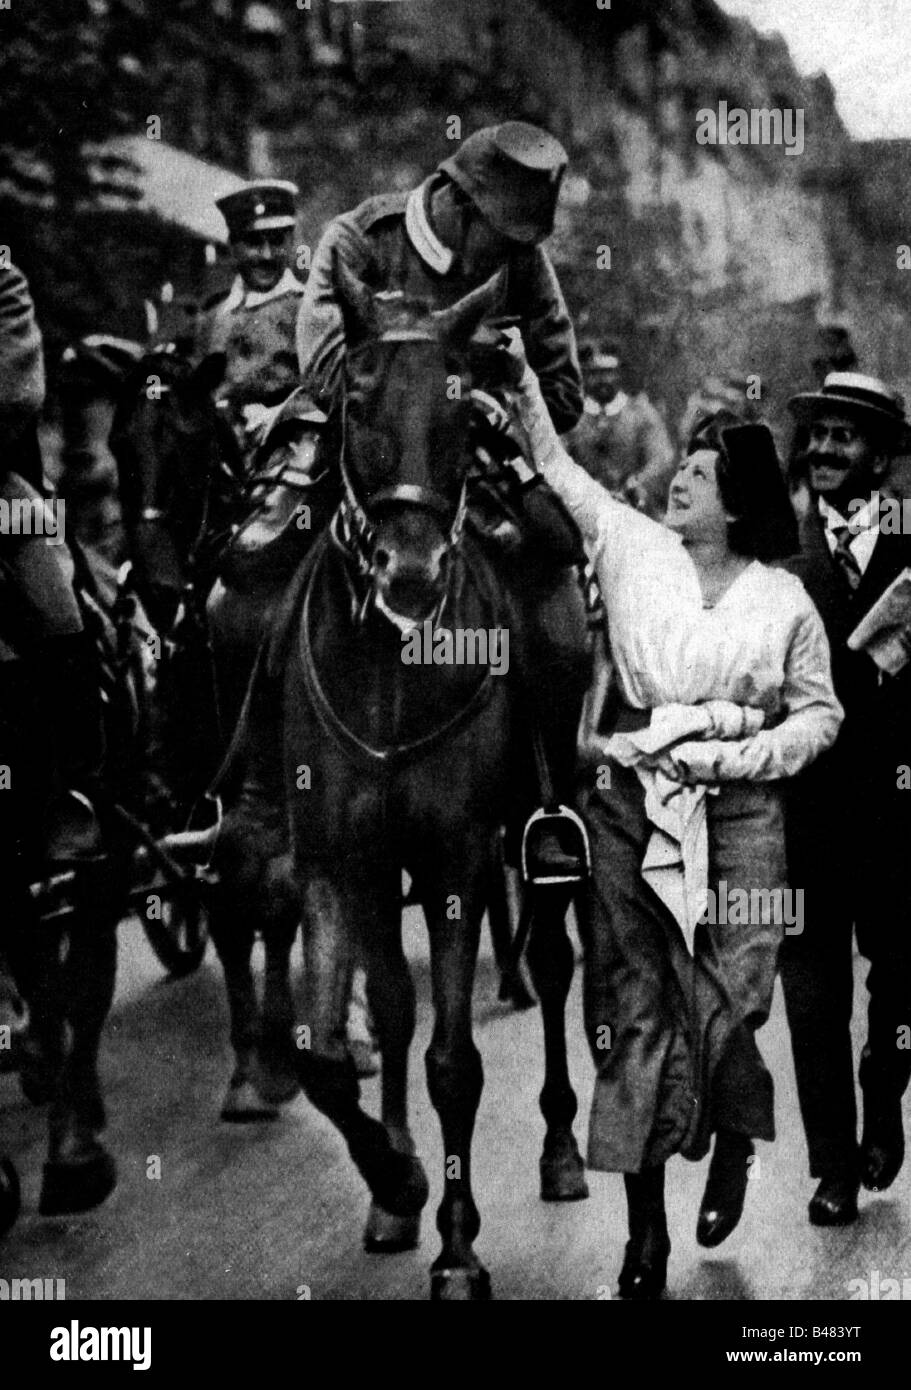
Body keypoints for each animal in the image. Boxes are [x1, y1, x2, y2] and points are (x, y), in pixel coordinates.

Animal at [246, 265, 592, 1295]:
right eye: (354, 401)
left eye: (462, 410)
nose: (408, 571)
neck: (391, 669)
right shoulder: (335, 862)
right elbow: (331, 1054)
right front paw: (397, 1182)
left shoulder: (456, 863)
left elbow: (453, 1063)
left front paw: (459, 1246)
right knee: (394, 1009)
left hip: (541, 831)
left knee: (550, 965)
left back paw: (560, 1149)